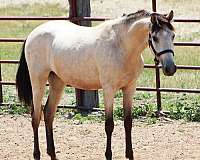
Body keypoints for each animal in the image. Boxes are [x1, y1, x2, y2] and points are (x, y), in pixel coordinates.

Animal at [15, 9, 176, 160]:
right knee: (36, 117)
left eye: (173, 36)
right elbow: (109, 125)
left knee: (48, 114)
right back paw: (37, 154)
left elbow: (128, 122)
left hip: (58, 82)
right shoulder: (109, 89)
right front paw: (108, 155)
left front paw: (130, 155)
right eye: (154, 37)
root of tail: (32, 34)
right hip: (38, 81)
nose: (170, 68)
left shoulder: (130, 88)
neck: (121, 46)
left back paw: (53, 154)